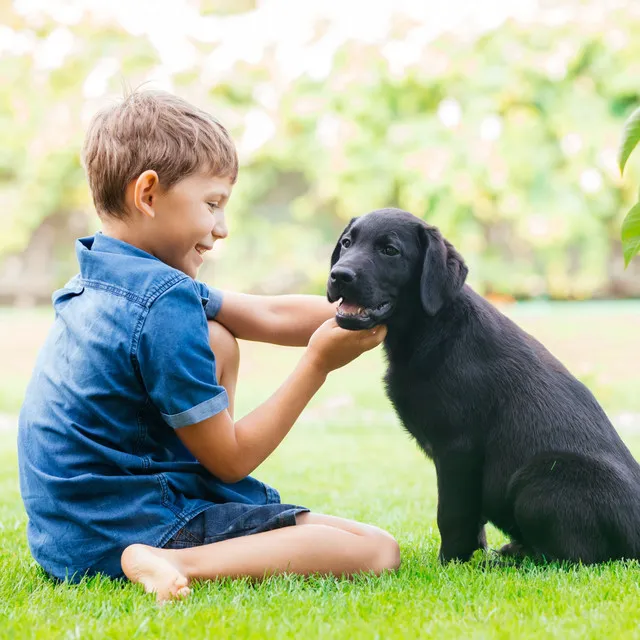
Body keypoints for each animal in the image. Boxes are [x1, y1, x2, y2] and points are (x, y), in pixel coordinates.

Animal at [328, 208, 640, 564]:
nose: (339, 275)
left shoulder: (459, 447)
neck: (432, 327)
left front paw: (451, 563)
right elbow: (471, 518)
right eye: (347, 243)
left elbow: (452, 514)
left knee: (575, 558)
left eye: (390, 250)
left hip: (541, 478)